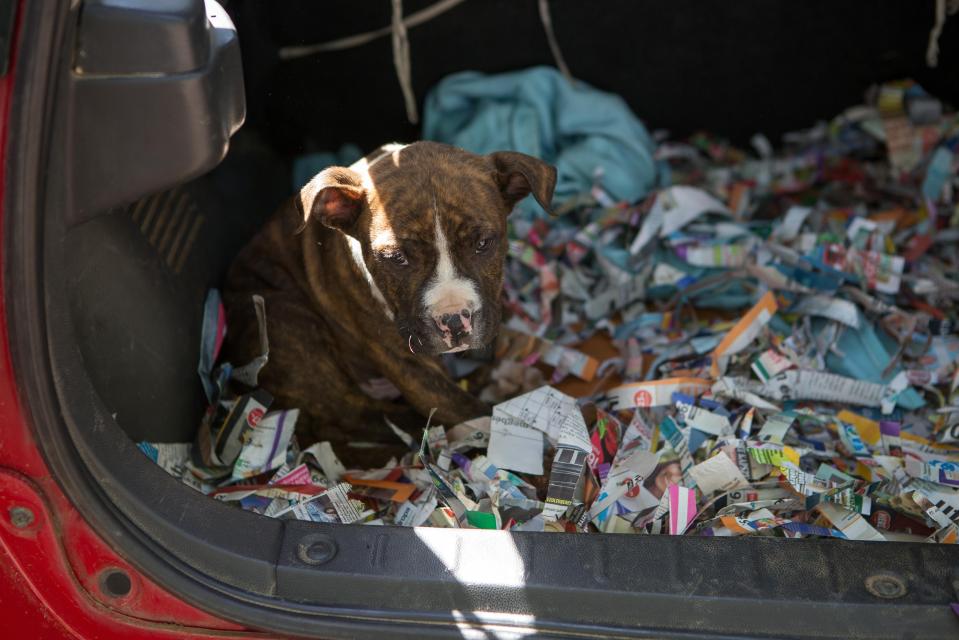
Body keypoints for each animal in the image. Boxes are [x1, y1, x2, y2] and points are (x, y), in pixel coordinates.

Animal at [222, 142, 556, 460]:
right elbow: (464, 409)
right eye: (397, 258)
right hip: (287, 325)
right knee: (364, 416)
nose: (453, 320)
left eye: (483, 243)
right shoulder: (411, 367)